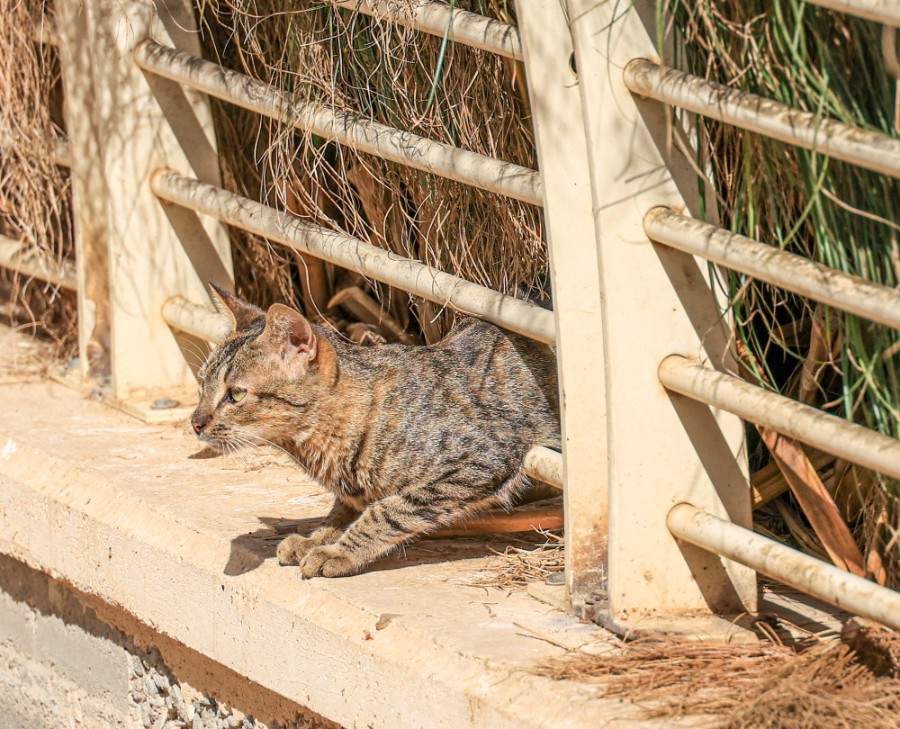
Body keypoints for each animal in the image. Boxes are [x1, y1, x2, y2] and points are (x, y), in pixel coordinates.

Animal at [192, 282, 560, 576]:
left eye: (236, 394)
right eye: (203, 384)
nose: (195, 422)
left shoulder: (483, 458)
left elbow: (387, 511)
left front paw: (339, 551)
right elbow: (343, 509)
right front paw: (318, 538)